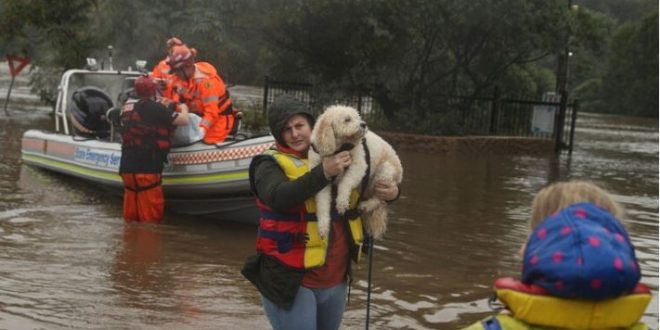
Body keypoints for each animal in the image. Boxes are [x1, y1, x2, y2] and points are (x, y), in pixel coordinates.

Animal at [308, 105, 402, 240]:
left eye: (358, 117)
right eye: (347, 119)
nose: (364, 124)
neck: (339, 148)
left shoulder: (359, 166)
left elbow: (345, 183)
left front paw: (342, 202)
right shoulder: (322, 179)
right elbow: (322, 204)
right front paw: (323, 227)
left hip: (385, 172)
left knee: (380, 199)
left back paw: (366, 205)